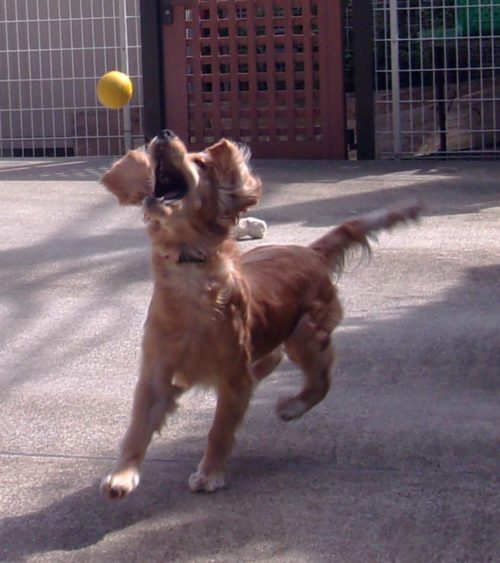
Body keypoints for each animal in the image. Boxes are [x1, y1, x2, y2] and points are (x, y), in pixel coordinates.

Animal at [99, 129, 421, 500]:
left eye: (201, 163)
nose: (164, 134)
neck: (189, 274)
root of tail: (310, 252)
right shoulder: (157, 373)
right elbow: (138, 427)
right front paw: (122, 476)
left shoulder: (233, 380)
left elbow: (219, 431)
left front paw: (209, 474)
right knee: (274, 358)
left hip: (306, 336)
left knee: (322, 378)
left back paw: (292, 406)